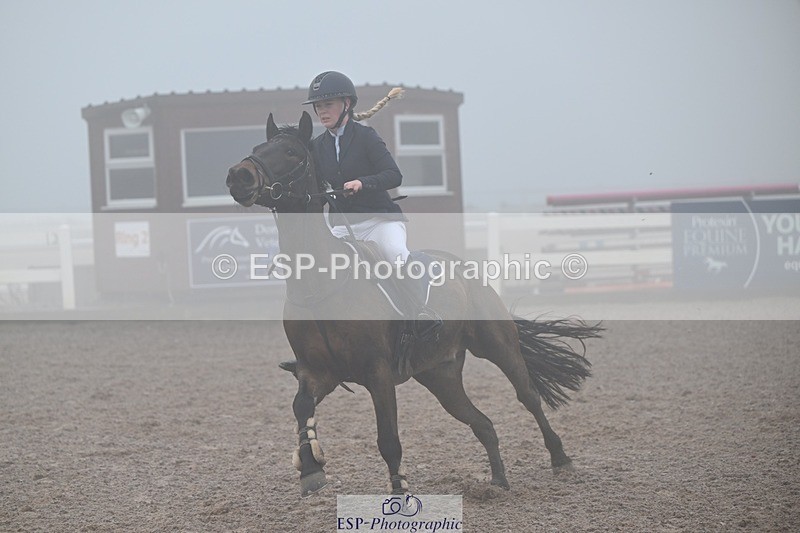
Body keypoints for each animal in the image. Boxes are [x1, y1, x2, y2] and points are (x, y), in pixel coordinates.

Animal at [225, 111, 602, 497]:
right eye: (258, 147)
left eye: (290, 152)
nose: (239, 176)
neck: (319, 284)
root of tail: (468, 271)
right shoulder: (318, 372)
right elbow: (301, 406)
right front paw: (311, 466)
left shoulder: (377, 373)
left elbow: (388, 440)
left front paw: (400, 493)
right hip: (440, 374)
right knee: (482, 422)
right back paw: (498, 482)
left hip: (497, 347)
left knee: (528, 396)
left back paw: (560, 459)